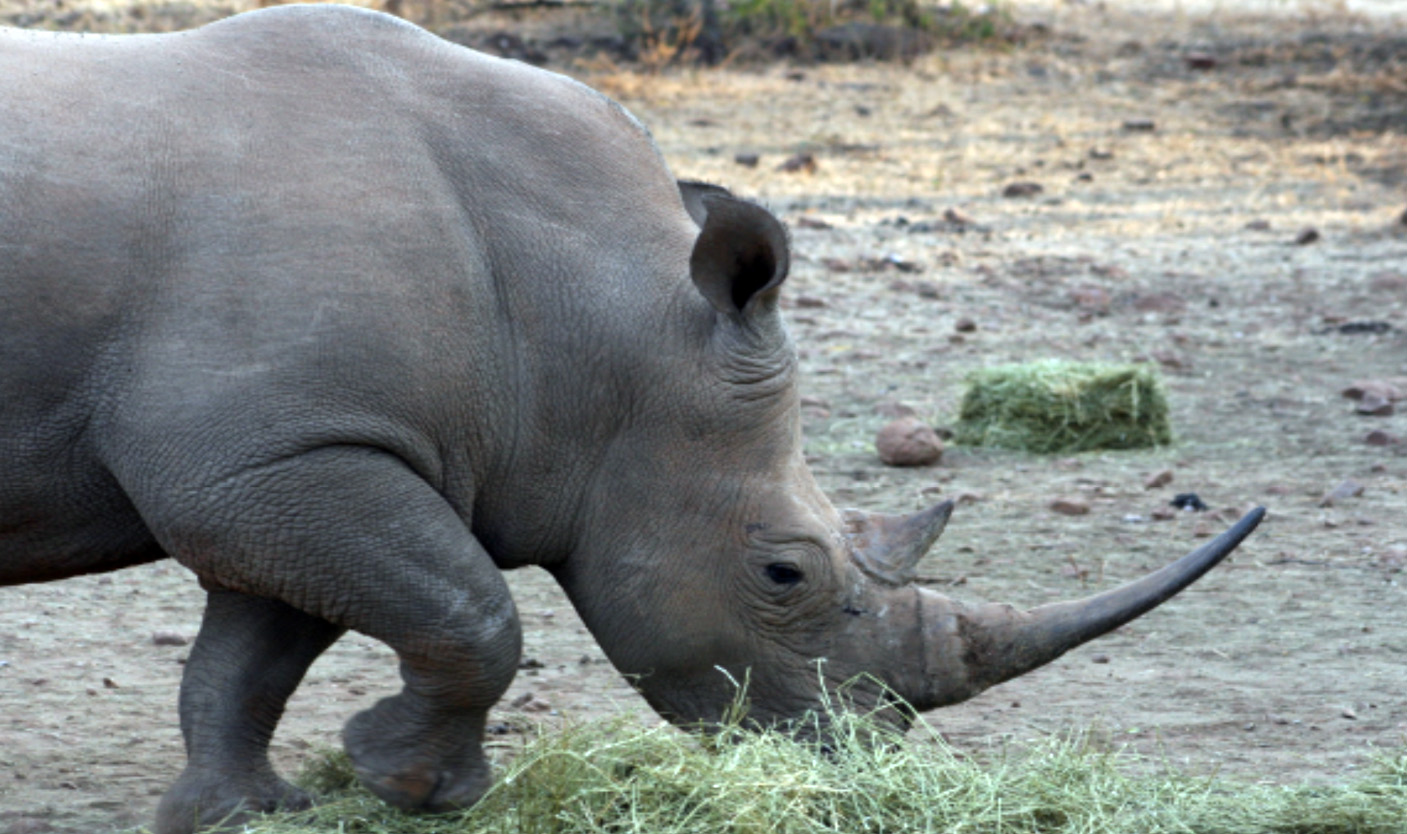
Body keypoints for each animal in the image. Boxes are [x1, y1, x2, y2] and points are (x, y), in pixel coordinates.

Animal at [0, 6, 1264, 832]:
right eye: (784, 575)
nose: (856, 757)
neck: (592, 326)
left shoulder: (297, 449)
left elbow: (255, 652)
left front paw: (247, 810)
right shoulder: (265, 457)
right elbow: (471, 612)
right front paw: (417, 788)